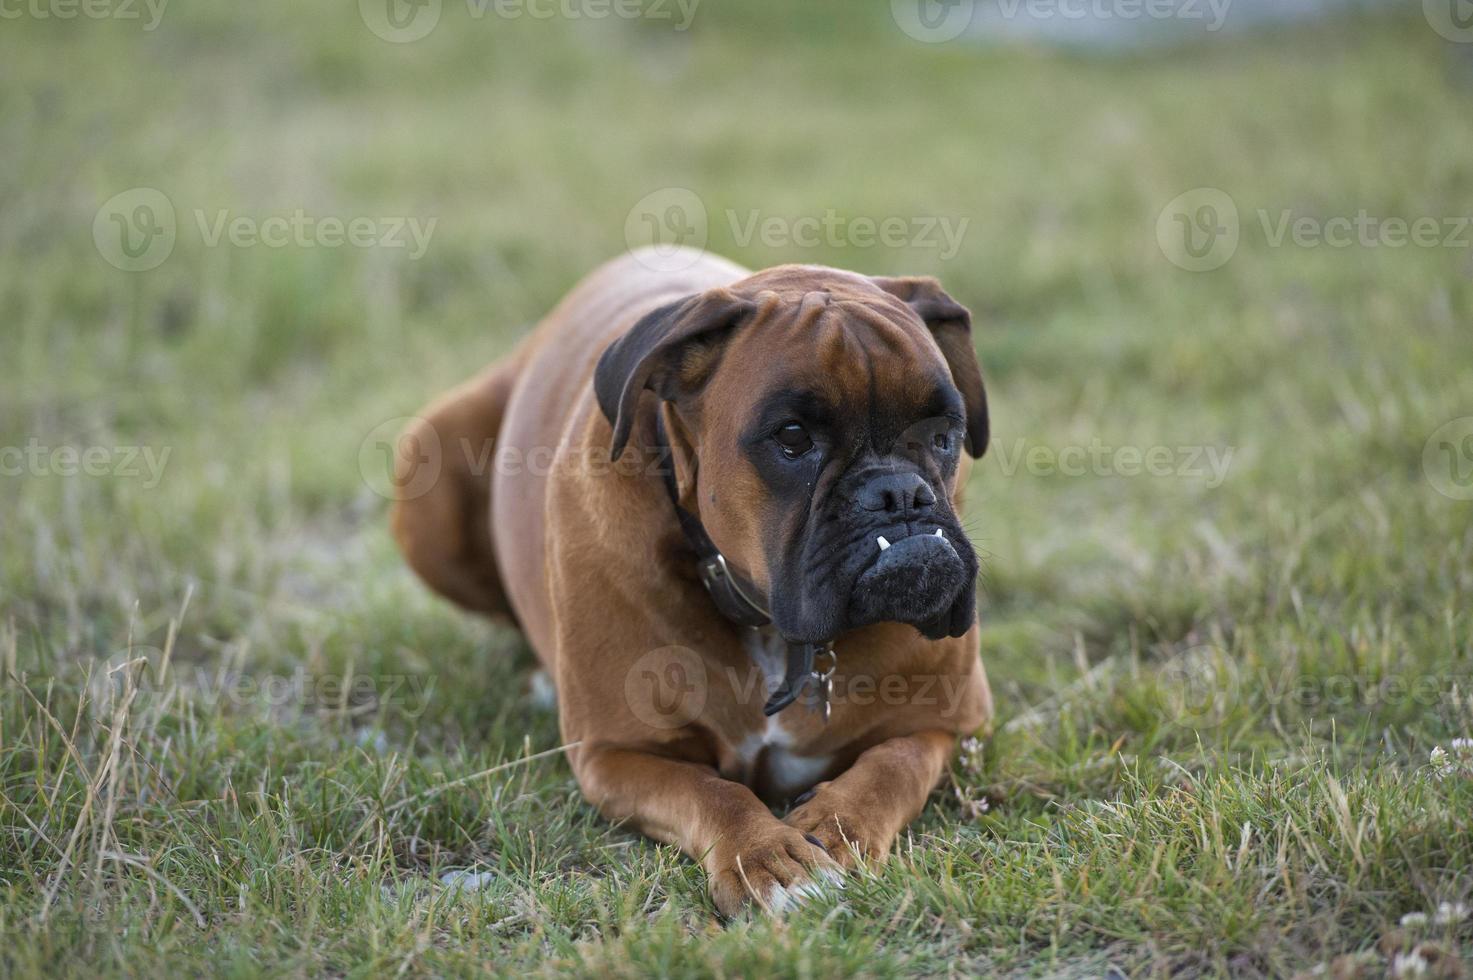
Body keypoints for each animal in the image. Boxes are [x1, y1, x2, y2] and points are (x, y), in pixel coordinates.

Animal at [391, 246, 989, 919]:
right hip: (425, 466)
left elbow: (891, 767)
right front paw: (769, 858)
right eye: (792, 438)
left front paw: (835, 827)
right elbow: (712, 792)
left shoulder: (947, 723)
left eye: (944, 433)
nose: (898, 494)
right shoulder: (618, 755)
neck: (771, 630)